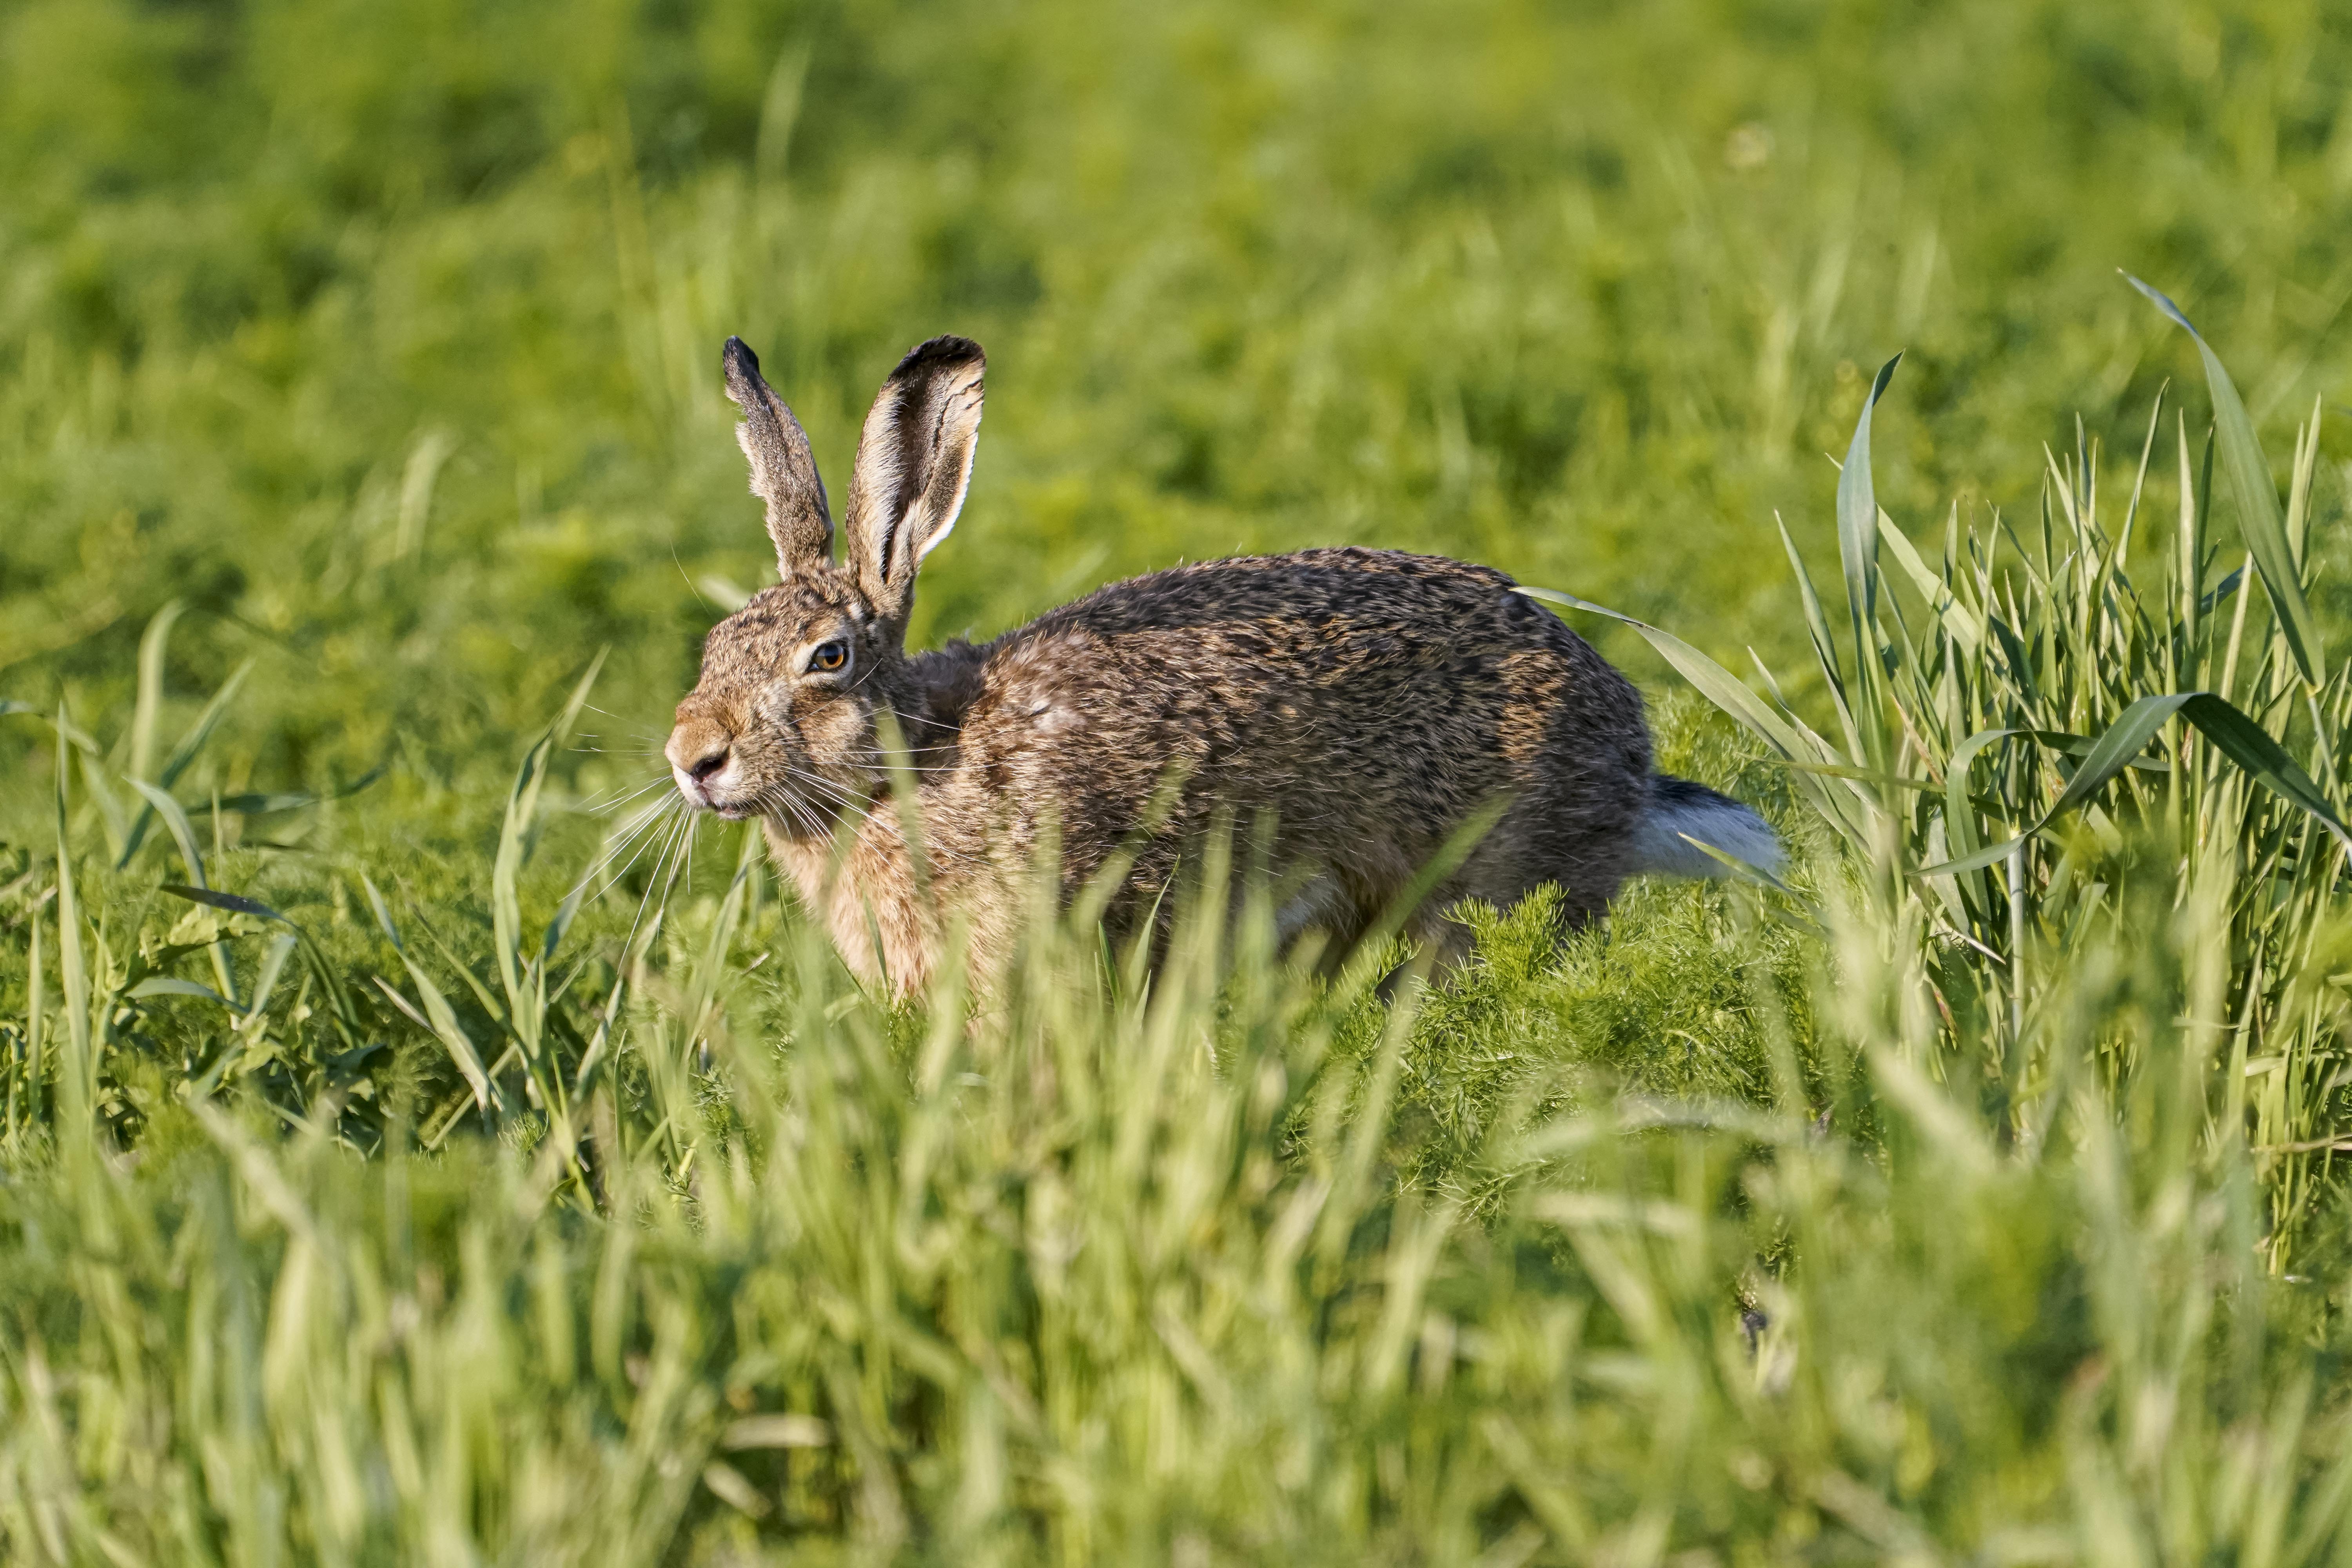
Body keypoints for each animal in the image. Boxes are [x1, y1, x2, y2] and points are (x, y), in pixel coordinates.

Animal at [665, 334, 1779, 996]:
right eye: (713, 648)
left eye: (829, 657)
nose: (693, 758)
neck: (915, 761)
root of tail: (1627, 753)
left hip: (1484, 885)